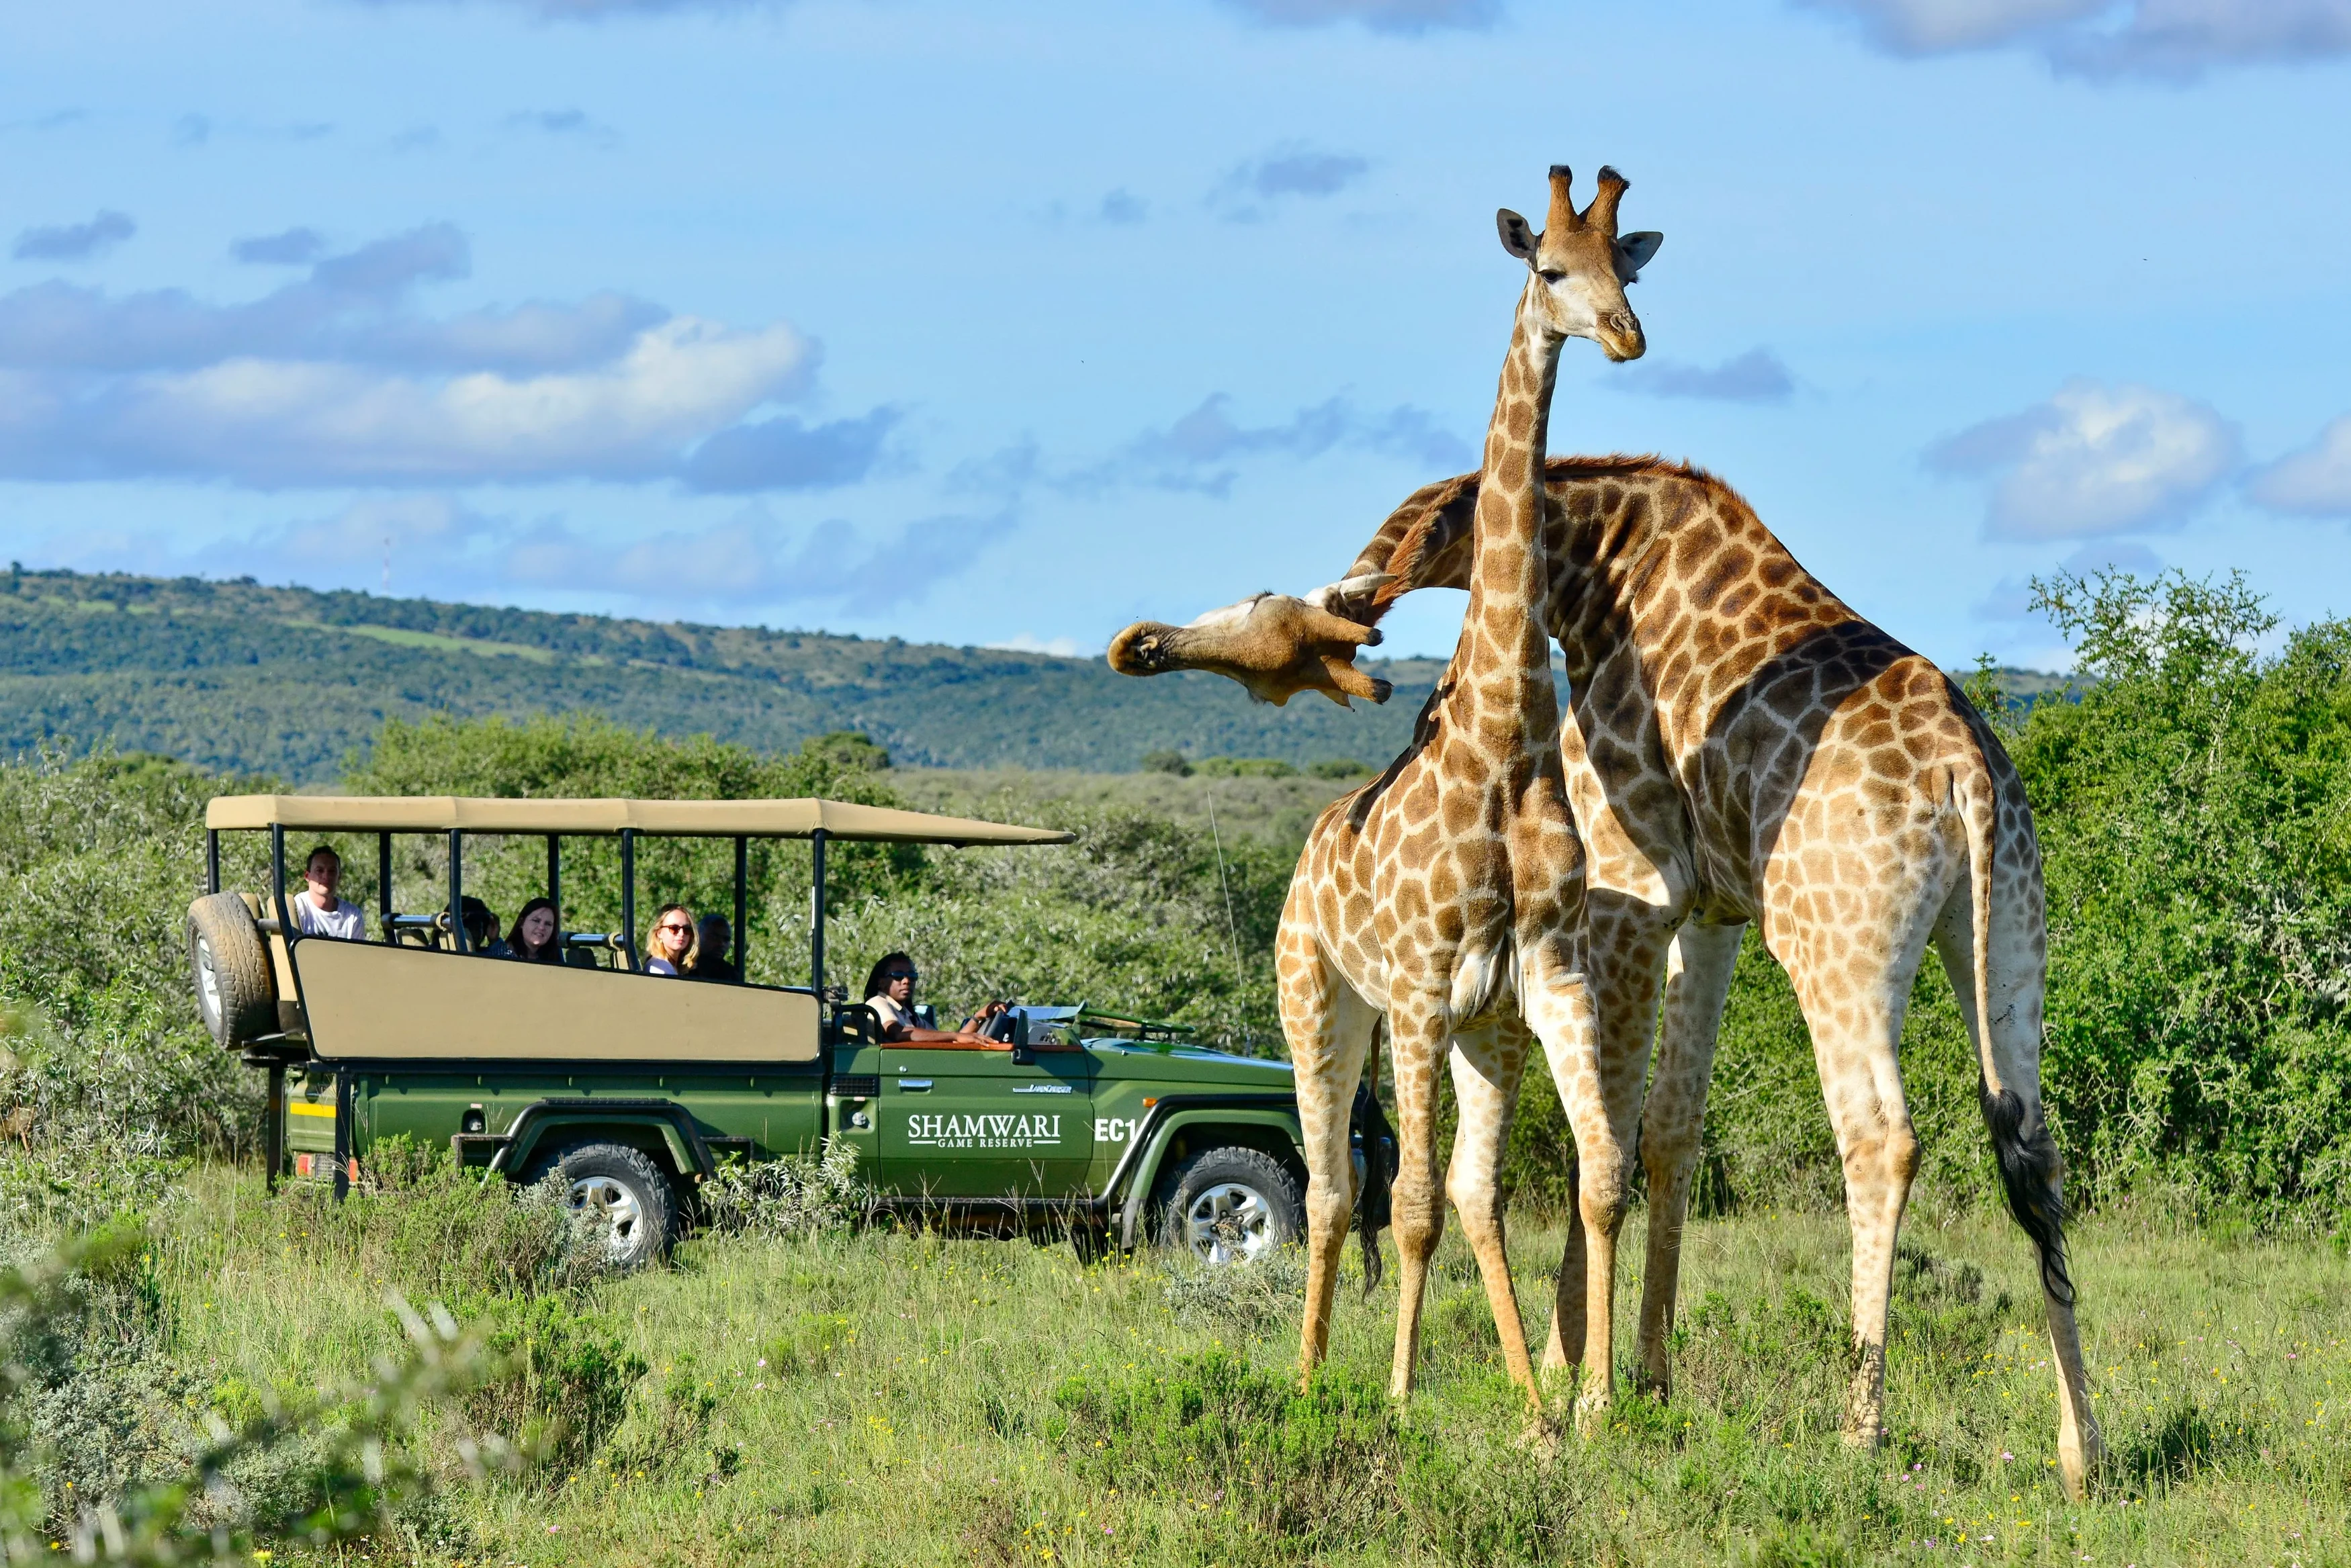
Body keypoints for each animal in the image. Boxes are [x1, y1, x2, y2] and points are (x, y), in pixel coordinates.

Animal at [1108, 457, 2106, 1498]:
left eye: (1259, 621)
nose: (1139, 646)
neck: (1602, 573)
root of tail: (1967, 774)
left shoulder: (1632, 892)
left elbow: (1609, 1143)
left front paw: (1578, 1388)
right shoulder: (1711, 911)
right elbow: (1667, 1132)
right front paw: (1644, 1378)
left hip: (1838, 943)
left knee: (1881, 1139)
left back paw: (1858, 1429)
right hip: (2010, 927)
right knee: (2035, 1147)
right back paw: (2079, 1448)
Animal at [1231, 164, 1662, 1418]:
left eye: (1626, 264)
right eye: (1550, 269)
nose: (1626, 335)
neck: (1504, 742)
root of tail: (1308, 849)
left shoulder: (1540, 983)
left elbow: (1593, 1180)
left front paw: (1582, 1405)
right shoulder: (1421, 988)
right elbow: (1409, 1206)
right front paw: (1401, 1393)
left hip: (1477, 1032)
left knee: (1467, 1192)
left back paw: (1519, 1395)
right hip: (1321, 1000)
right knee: (1335, 1192)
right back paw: (1316, 1372)